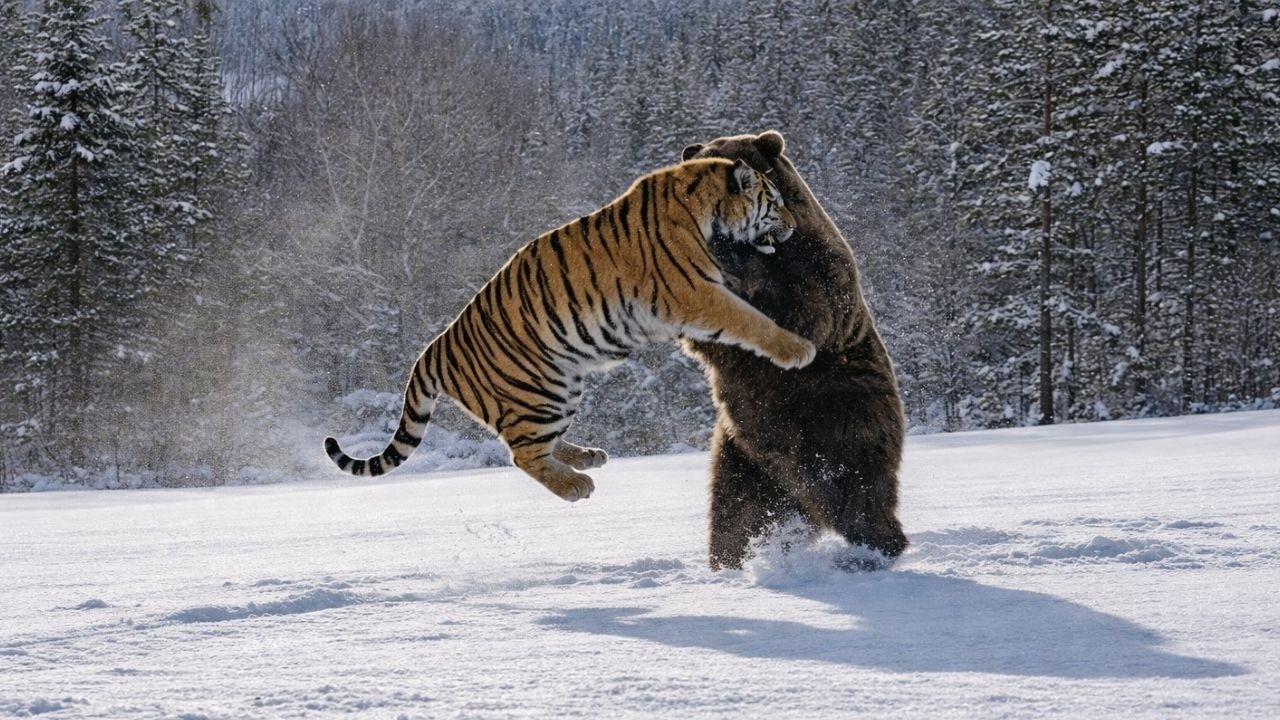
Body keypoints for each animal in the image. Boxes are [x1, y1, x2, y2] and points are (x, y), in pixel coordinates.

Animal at [323, 157, 815, 502]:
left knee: (539, 444)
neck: (703, 207)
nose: (793, 227)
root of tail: (434, 347)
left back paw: (588, 457)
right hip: (541, 390)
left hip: (561, 387)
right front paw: (799, 349)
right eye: (775, 201)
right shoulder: (695, 293)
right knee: (523, 454)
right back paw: (577, 485)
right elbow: (750, 320)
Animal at [681, 130, 908, 570]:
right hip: (744, 453)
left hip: (837, 413)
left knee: (855, 491)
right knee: (738, 513)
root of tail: (796, 489)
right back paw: (732, 561)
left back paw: (873, 550)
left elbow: (802, 302)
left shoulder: (816, 269)